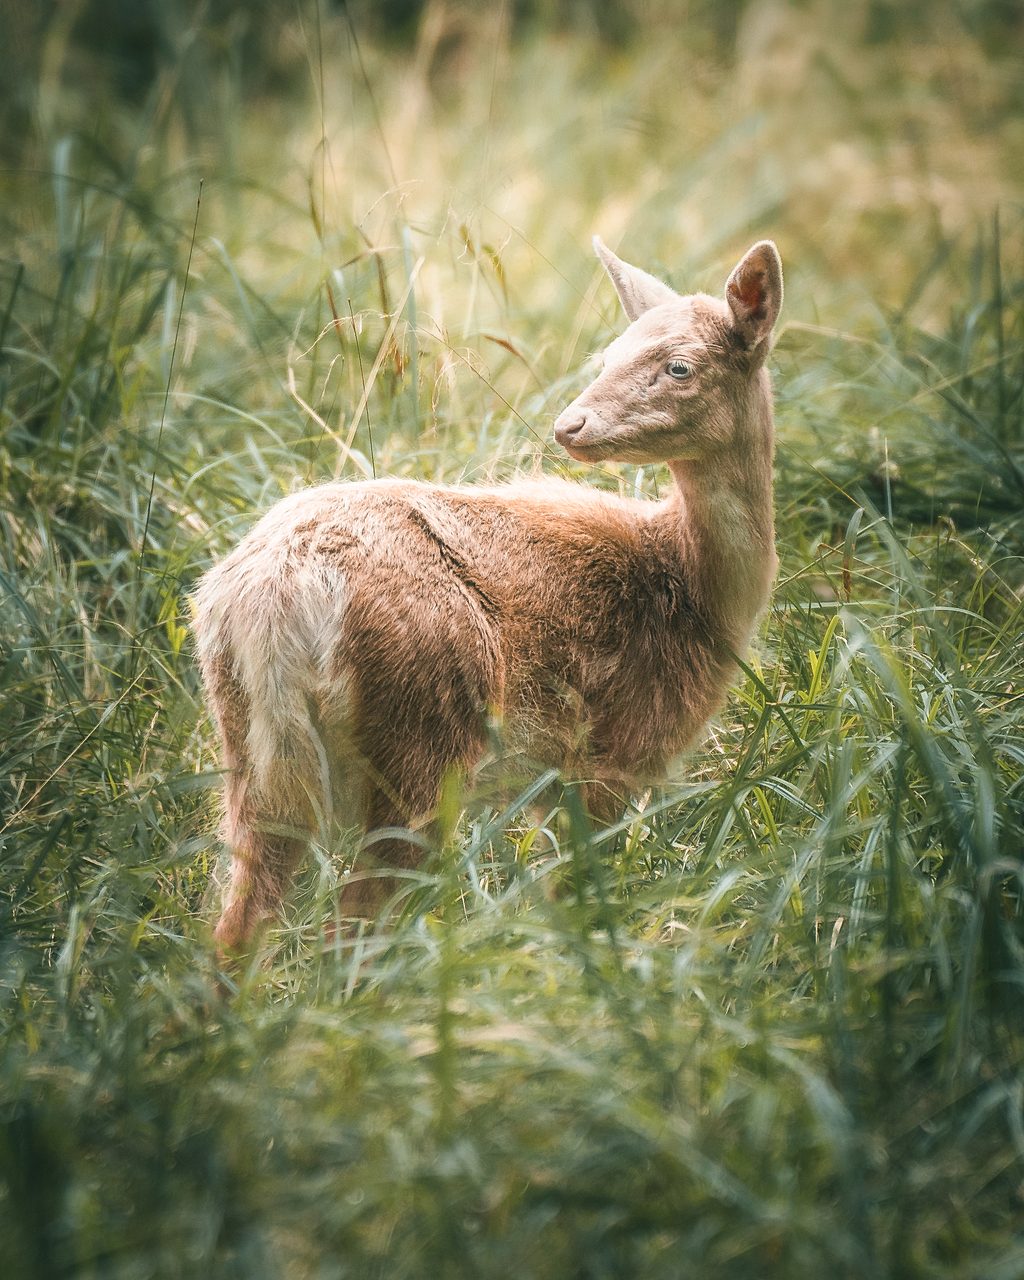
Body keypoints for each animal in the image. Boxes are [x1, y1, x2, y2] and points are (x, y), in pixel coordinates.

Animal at [193, 237, 782, 949]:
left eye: (679, 366)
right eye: (608, 354)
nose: (570, 425)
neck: (687, 582)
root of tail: (274, 592)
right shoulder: (612, 752)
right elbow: (579, 897)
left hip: (253, 754)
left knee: (239, 923)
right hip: (422, 737)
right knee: (353, 922)